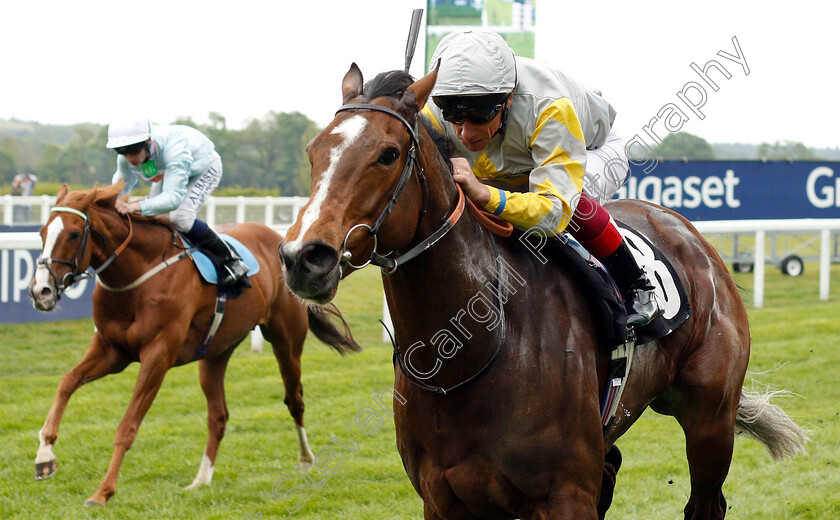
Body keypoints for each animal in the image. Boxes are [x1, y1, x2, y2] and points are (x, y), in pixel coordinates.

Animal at [25, 182, 360, 504]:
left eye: (73, 233)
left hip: (286, 341)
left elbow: (127, 426)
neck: (138, 275)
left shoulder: (157, 355)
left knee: (295, 400)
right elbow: (66, 383)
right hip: (216, 352)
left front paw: (102, 492)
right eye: (41, 232)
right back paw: (201, 479)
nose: (40, 291)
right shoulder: (111, 351)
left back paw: (306, 460)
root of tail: (281, 242)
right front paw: (44, 457)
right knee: (218, 416)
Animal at [278, 65, 812, 520]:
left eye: (388, 153)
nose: (304, 257)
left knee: (705, 502)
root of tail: (687, 231)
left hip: (710, 418)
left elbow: (556, 200)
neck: (472, 354)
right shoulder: (444, 500)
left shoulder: (563, 494)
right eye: (312, 151)